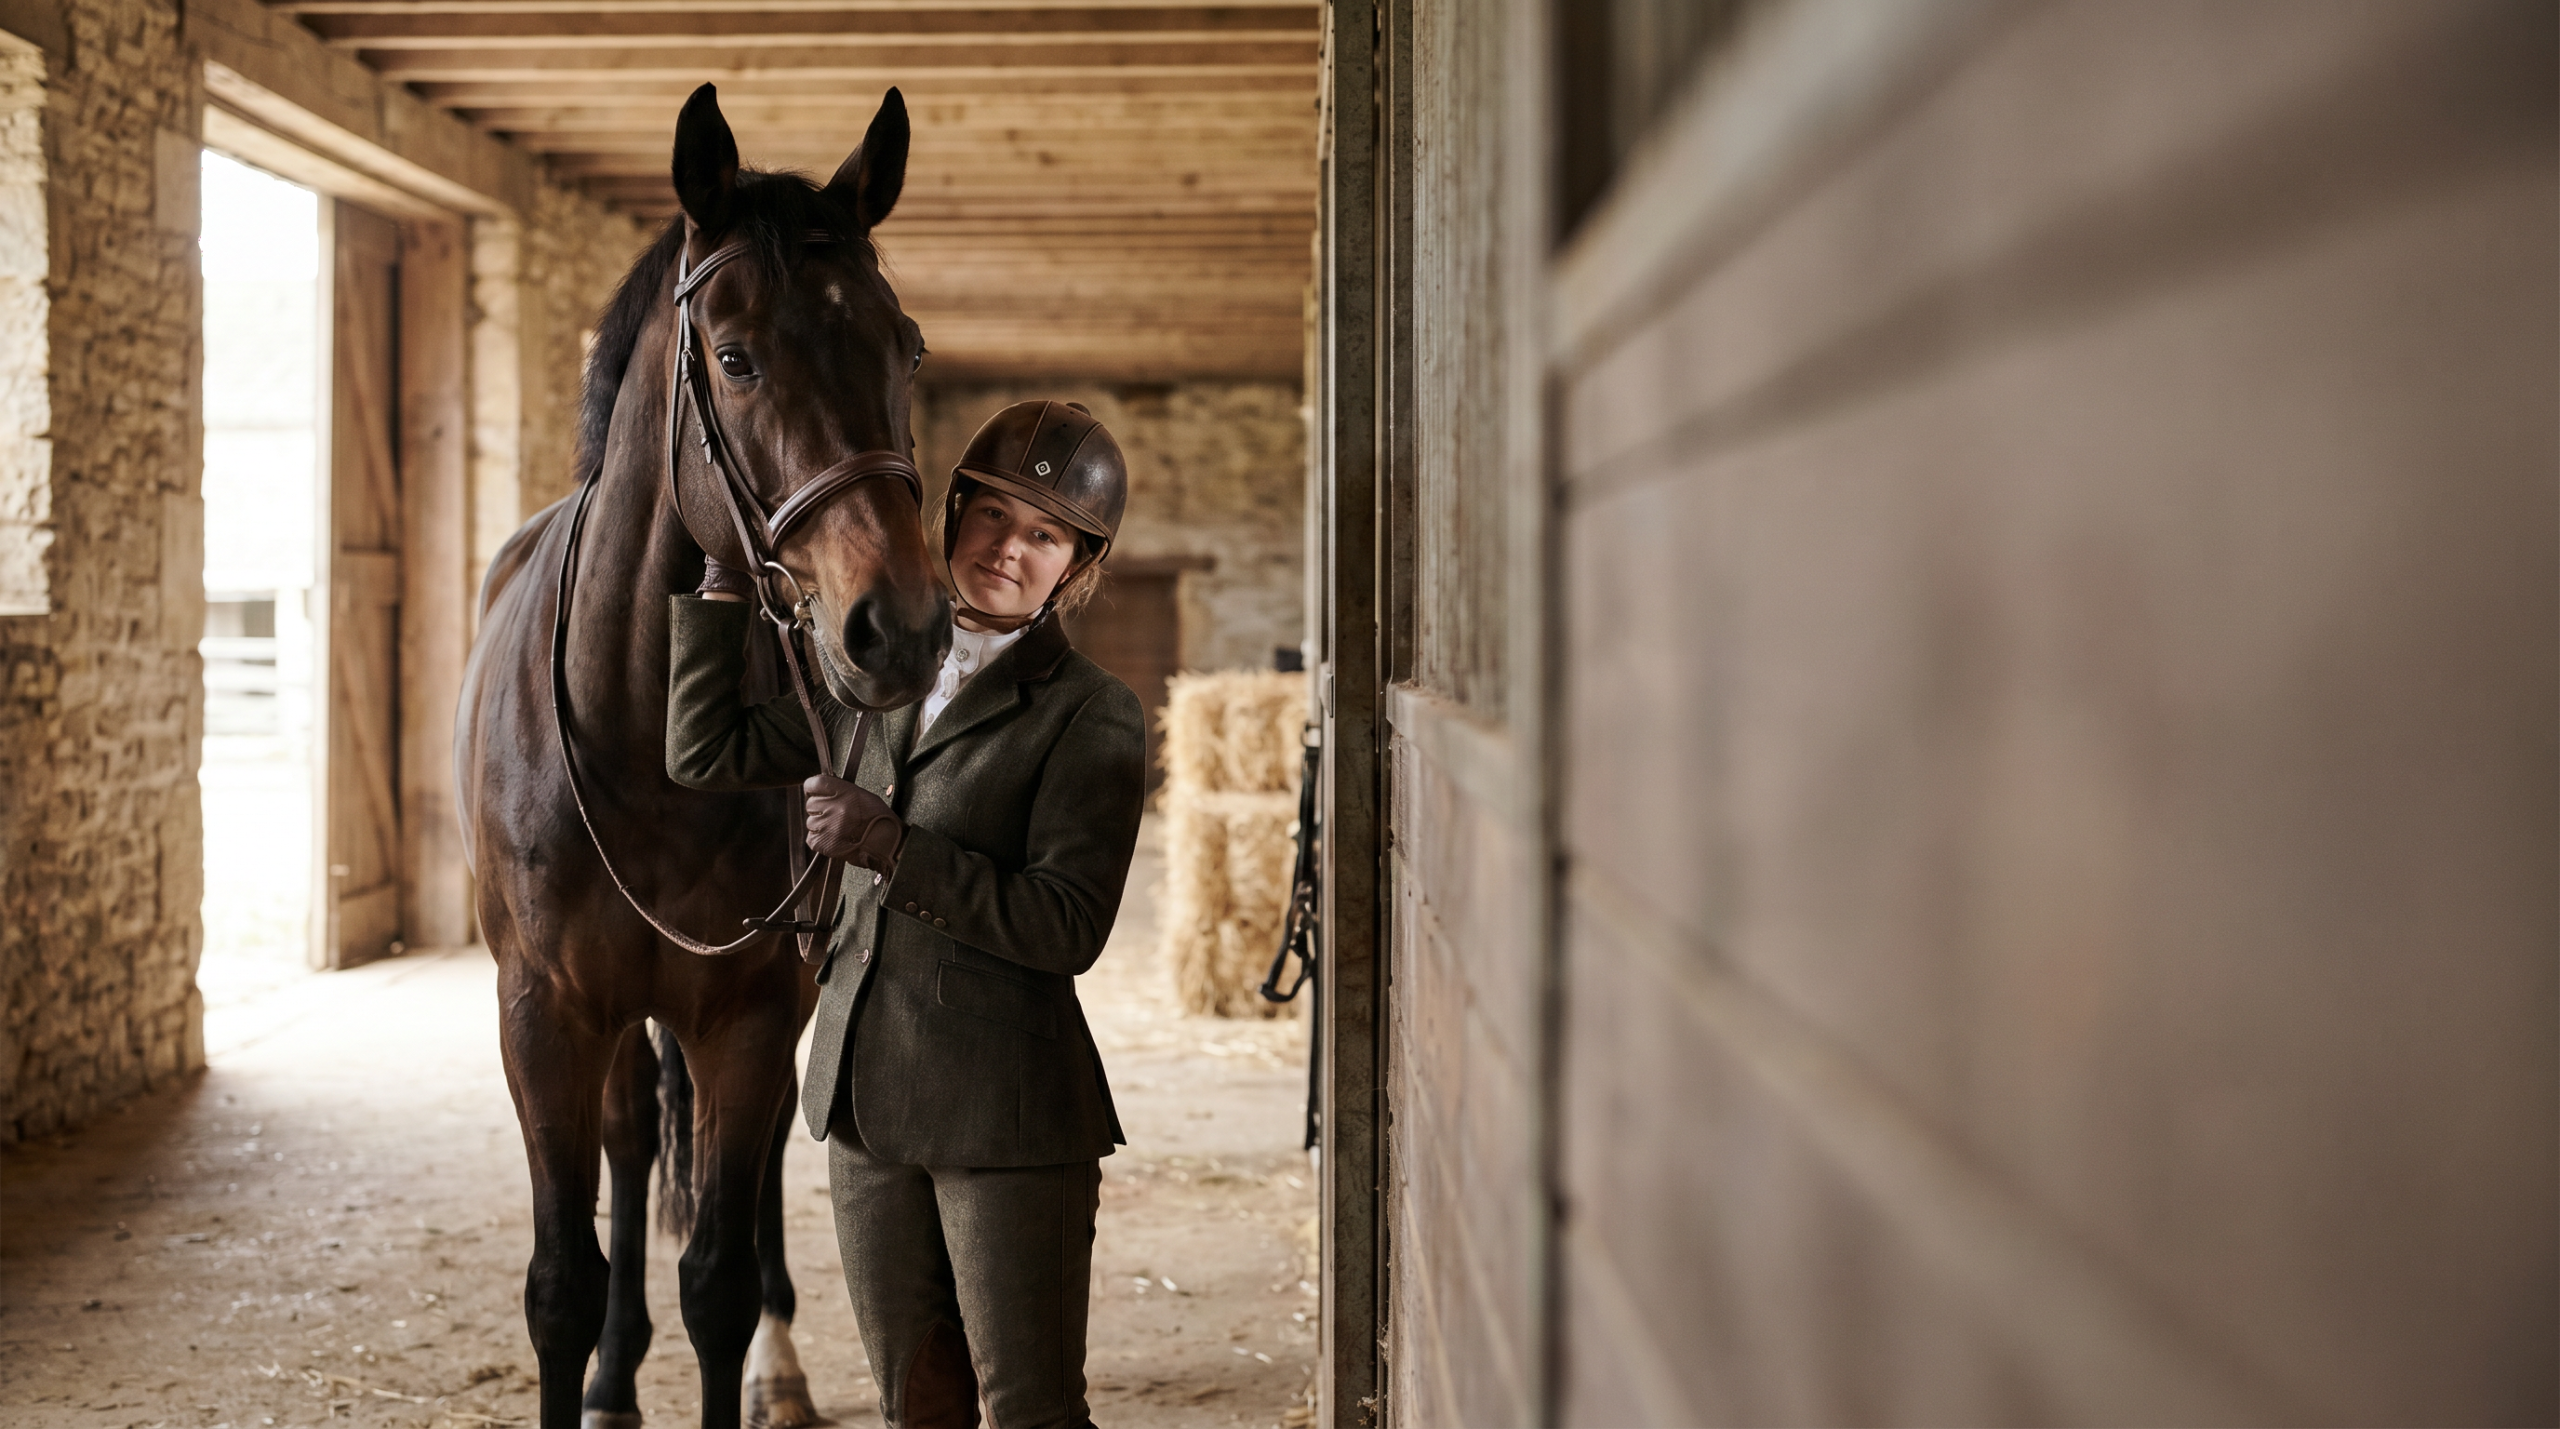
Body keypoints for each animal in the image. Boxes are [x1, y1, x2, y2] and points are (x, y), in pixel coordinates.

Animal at [455, 84, 949, 1429]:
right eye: (734, 357)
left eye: (905, 349)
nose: (900, 626)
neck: (641, 738)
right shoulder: (544, 1012)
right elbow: (561, 1283)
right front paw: (595, 1361)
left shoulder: (748, 1009)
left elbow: (719, 1278)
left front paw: (754, 1353)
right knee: (632, 1143)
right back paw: (619, 1376)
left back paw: (777, 1366)